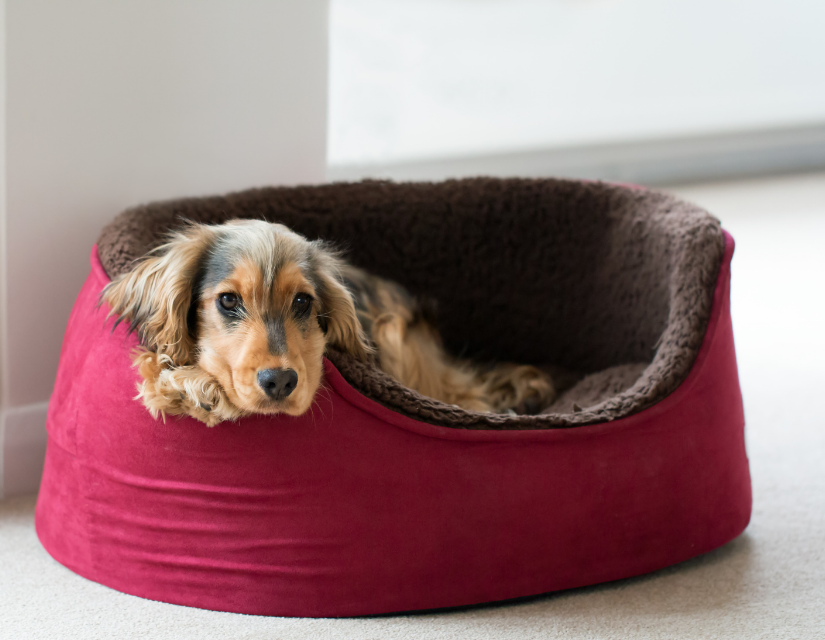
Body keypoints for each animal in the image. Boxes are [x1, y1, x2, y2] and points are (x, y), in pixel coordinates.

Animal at [103, 220, 552, 424]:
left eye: (303, 302)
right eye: (228, 301)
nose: (280, 382)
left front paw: (194, 387)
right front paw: (178, 382)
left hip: (397, 334)